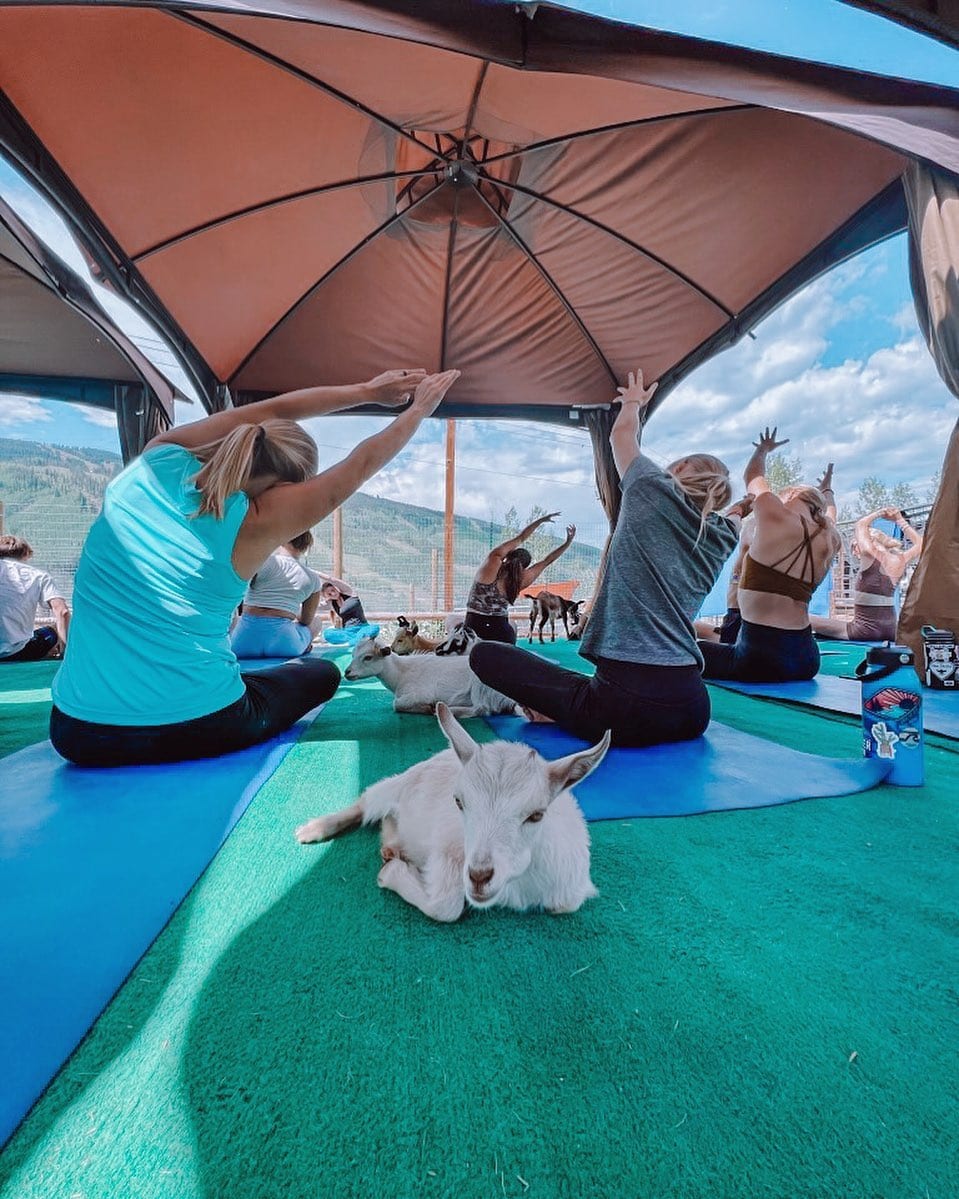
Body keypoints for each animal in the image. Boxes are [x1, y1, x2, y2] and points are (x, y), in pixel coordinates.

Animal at [293, 700, 606, 920]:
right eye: (459, 802)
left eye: (537, 814)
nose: (479, 877)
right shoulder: (449, 848)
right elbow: (446, 906)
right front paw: (390, 874)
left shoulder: (569, 887)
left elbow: (567, 904)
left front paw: (393, 864)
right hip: (399, 783)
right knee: (367, 801)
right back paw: (314, 829)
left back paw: (392, 846)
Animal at [345, 633, 520, 714]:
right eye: (352, 654)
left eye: (368, 657)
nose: (347, 672)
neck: (401, 673)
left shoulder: (418, 694)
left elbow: (396, 704)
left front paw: (426, 707)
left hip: (480, 687)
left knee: (480, 709)